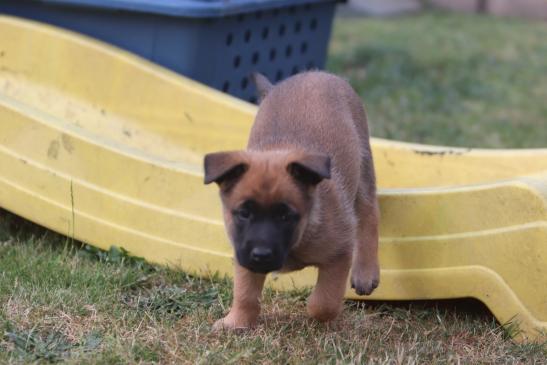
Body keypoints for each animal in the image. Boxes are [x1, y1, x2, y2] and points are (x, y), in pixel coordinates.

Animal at [203, 69, 378, 328]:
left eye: (286, 216)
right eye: (244, 214)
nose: (261, 255)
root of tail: (316, 73)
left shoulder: (339, 254)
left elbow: (324, 302)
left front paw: (317, 313)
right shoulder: (243, 253)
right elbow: (245, 294)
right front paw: (237, 322)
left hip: (364, 167)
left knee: (369, 214)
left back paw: (366, 272)